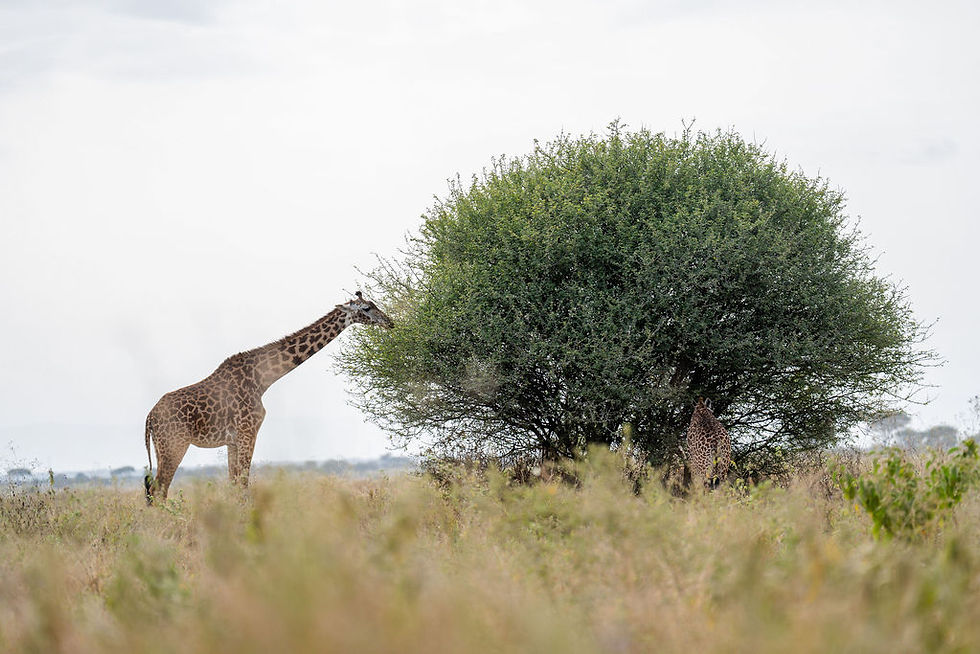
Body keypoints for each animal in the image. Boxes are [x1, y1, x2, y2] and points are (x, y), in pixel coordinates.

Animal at [143, 292, 393, 504]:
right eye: (367, 308)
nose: (389, 322)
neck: (262, 380)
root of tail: (150, 418)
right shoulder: (248, 431)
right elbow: (243, 485)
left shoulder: (233, 440)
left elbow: (234, 485)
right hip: (174, 444)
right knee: (158, 489)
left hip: (160, 447)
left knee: (155, 491)